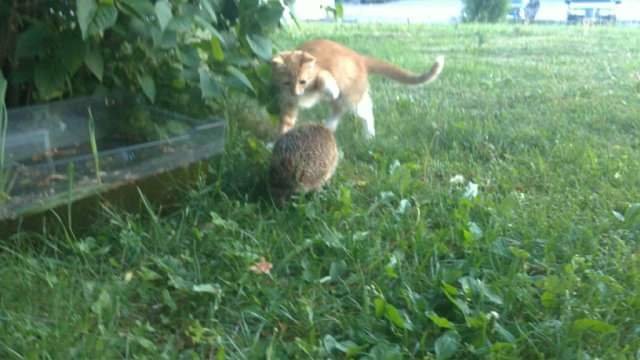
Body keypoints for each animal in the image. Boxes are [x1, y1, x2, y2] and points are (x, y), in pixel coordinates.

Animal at [274, 39, 444, 138]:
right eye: (286, 83)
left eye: (302, 81)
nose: (296, 93)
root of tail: (360, 58)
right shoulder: (288, 102)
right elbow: (286, 122)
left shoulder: (322, 72)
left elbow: (324, 78)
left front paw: (331, 87)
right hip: (343, 100)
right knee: (338, 111)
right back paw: (328, 127)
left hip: (351, 97)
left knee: (366, 111)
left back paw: (369, 135)